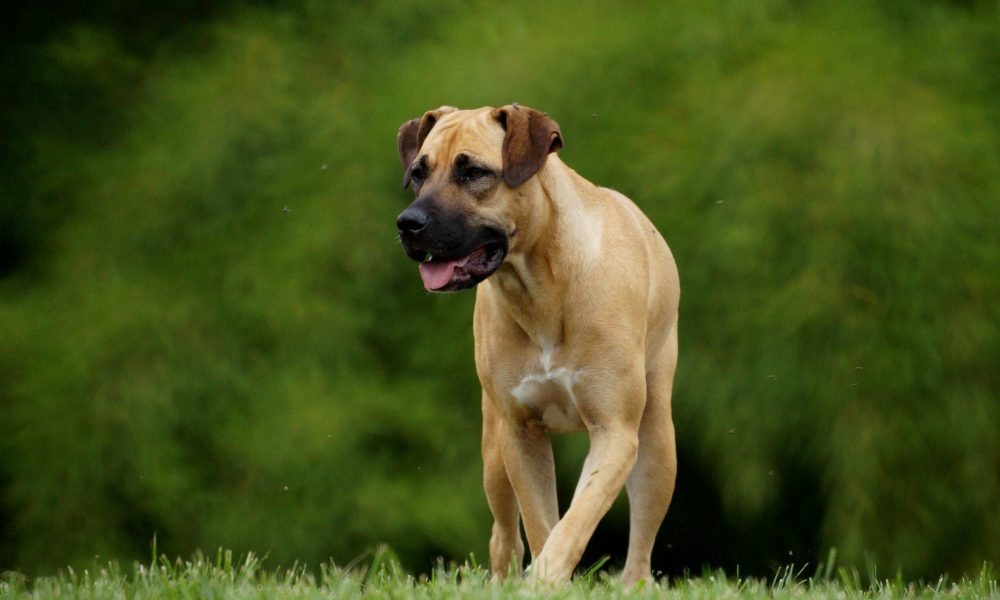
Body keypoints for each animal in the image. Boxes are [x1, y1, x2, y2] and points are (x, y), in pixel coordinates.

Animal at [392, 105, 680, 584]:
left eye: (473, 172)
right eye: (418, 173)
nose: (408, 224)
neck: (543, 284)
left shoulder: (615, 432)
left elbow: (576, 520)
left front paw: (547, 578)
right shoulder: (519, 433)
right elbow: (542, 521)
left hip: (657, 439)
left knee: (642, 542)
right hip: (493, 450)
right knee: (504, 533)